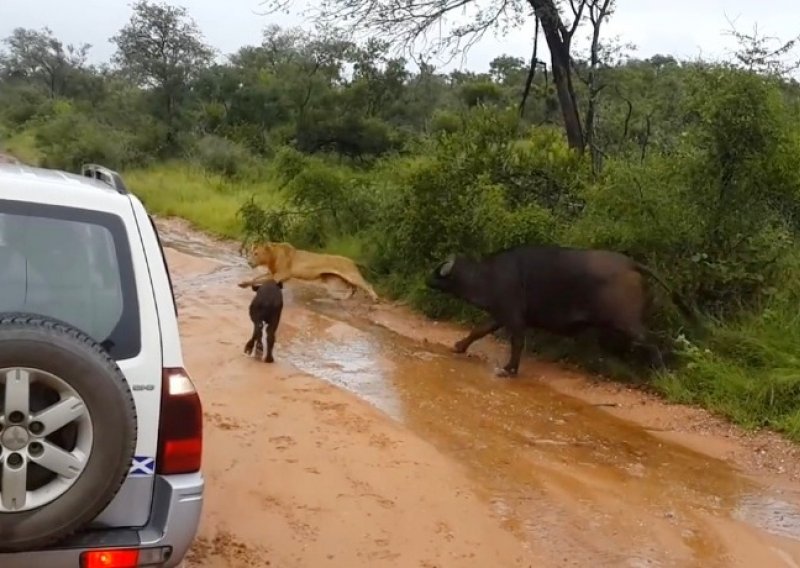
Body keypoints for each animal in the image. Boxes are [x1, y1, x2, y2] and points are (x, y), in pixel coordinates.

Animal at [424, 244, 692, 378]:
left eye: (438, 271)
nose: (427, 280)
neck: (488, 276)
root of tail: (631, 264)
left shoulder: (513, 318)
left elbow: (517, 342)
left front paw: (510, 369)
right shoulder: (498, 316)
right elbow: (478, 330)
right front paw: (459, 346)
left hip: (627, 323)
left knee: (652, 344)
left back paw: (662, 374)